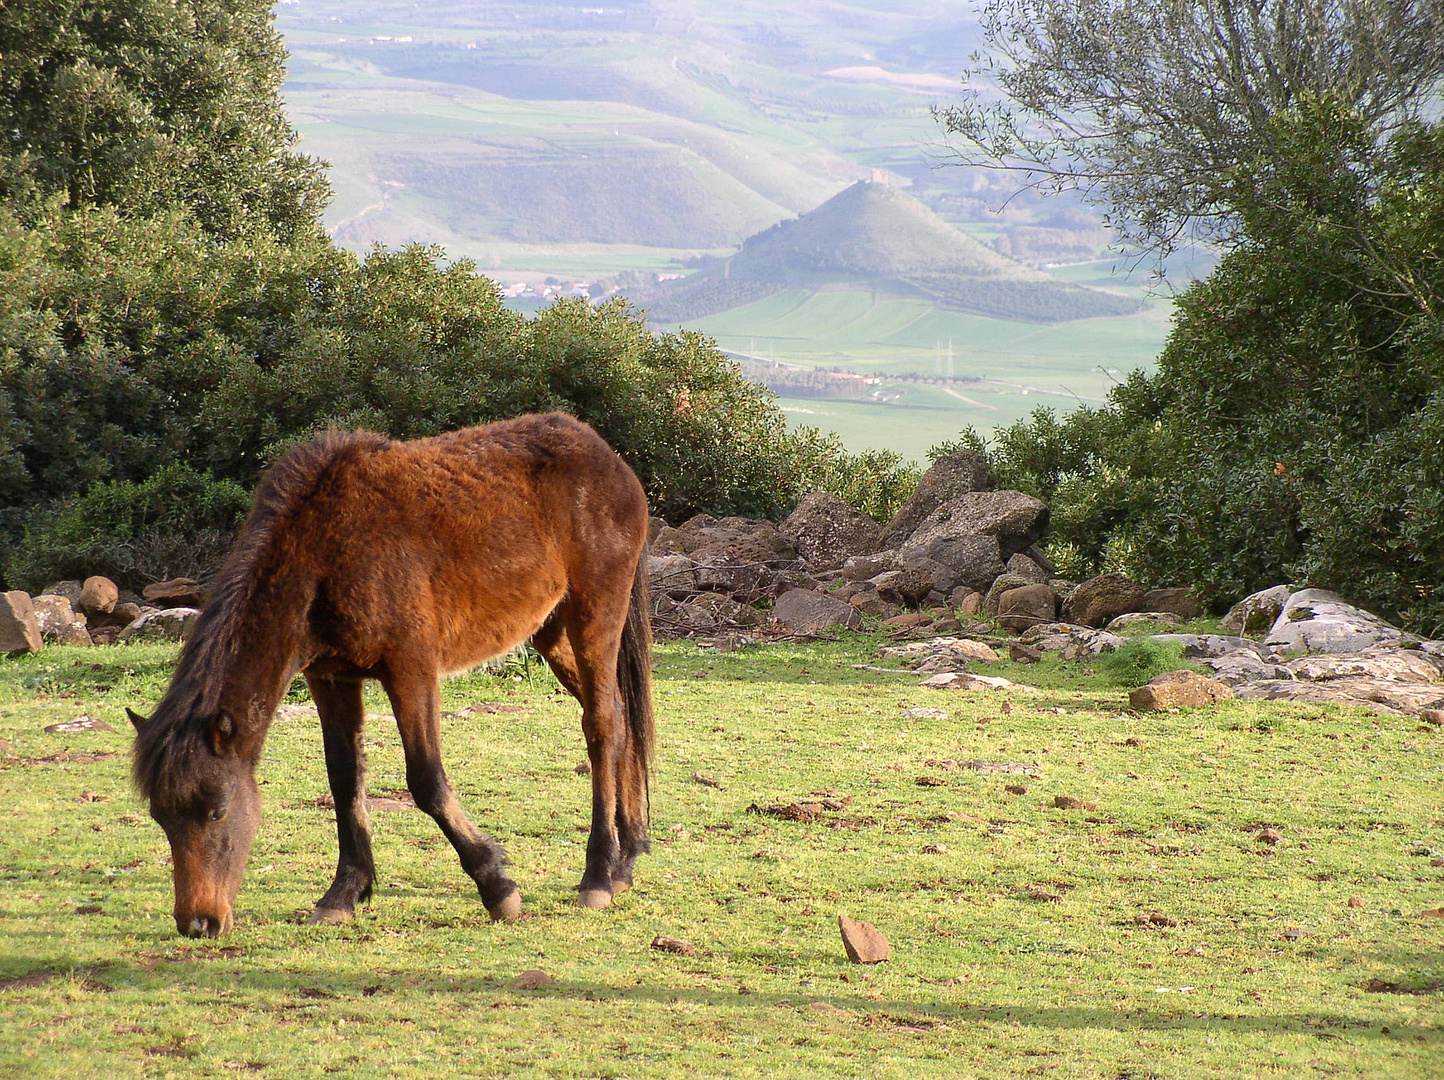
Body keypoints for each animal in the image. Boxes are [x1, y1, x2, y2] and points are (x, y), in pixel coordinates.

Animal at [134, 412, 655, 935]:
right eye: (161, 817)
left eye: (217, 811)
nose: (199, 923)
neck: (323, 551)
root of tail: (606, 456)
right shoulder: (332, 678)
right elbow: (345, 779)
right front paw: (344, 892)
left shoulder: (411, 670)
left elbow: (426, 781)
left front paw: (497, 887)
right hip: (551, 631)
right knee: (620, 717)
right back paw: (627, 858)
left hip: (594, 616)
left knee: (603, 725)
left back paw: (599, 875)